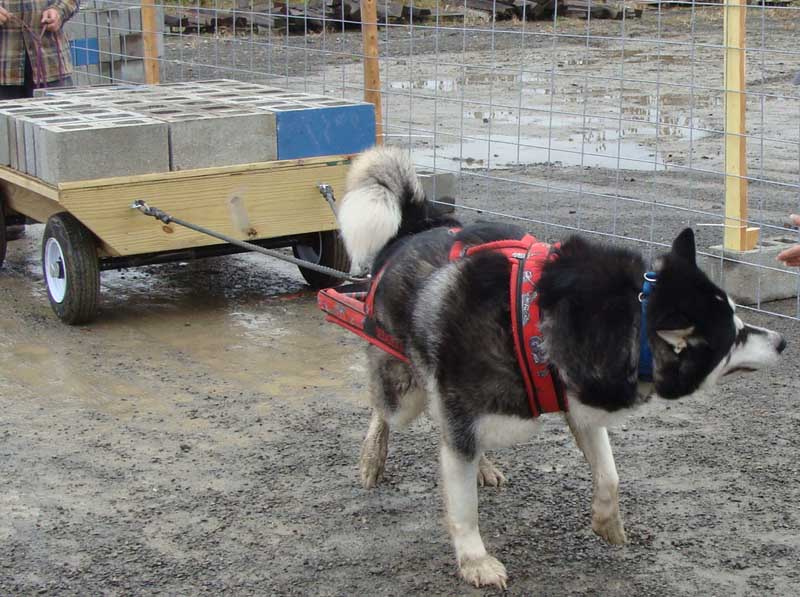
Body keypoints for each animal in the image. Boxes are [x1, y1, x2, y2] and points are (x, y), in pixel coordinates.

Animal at [332, 146, 788, 588]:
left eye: (740, 319)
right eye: (735, 337)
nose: (783, 341)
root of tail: (414, 227)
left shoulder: (577, 402)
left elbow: (609, 475)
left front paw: (607, 521)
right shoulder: (463, 415)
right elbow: (464, 509)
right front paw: (475, 561)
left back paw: (483, 466)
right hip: (404, 391)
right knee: (386, 411)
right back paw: (373, 456)